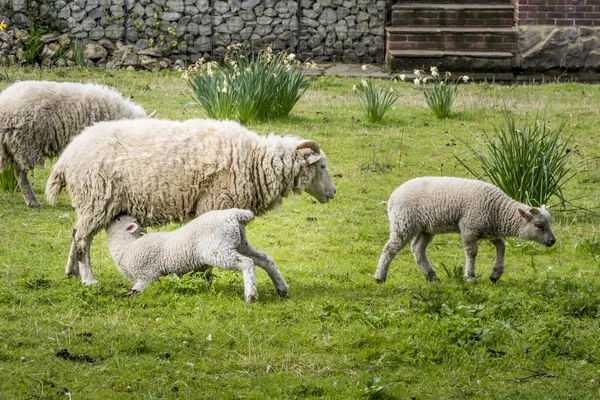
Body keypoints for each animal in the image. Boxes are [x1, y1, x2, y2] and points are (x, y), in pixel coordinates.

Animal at [45, 117, 338, 286]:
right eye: (322, 166)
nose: (333, 193)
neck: (255, 161)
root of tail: (67, 155)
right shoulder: (215, 203)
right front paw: (205, 279)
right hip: (97, 198)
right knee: (82, 240)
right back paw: (89, 279)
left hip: (89, 204)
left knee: (76, 233)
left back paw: (71, 271)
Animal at [106, 208, 290, 302]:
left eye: (118, 220)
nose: (116, 214)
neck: (127, 247)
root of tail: (235, 215)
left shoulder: (147, 276)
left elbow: (136, 290)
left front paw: (122, 295)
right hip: (239, 243)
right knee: (265, 259)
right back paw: (282, 288)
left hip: (216, 250)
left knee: (246, 262)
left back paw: (250, 295)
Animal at [376, 177, 556, 282]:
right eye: (539, 225)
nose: (552, 241)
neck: (498, 211)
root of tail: (393, 195)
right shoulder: (469, 227)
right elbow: (472, 253)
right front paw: (470, 277)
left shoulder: (489, 229)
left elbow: (501, 247)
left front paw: (495, 274)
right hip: (403, 223)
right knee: (390, 248)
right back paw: (380, 276)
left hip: (425, 228)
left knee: (418, 249)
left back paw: (432, 276)